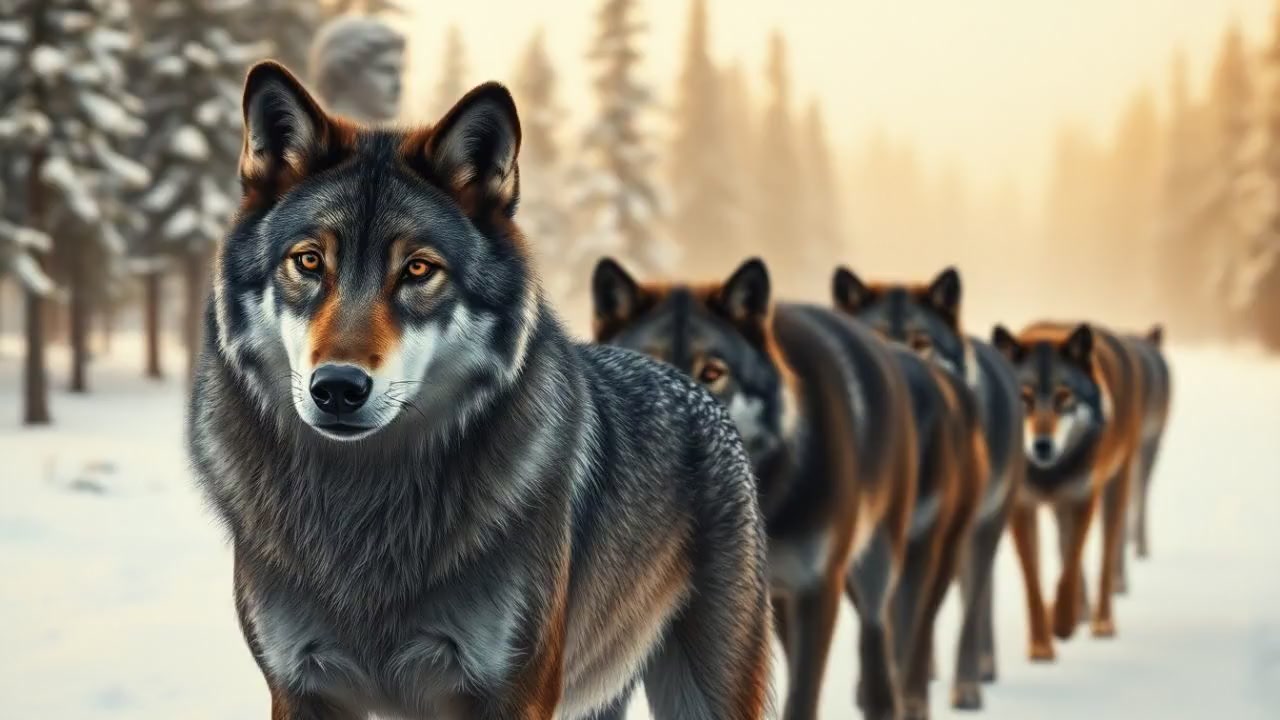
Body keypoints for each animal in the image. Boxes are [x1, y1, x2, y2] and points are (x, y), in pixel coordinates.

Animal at [186, 62, 773, 720]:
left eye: (418, 269)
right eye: (309, 262)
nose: (337, 387)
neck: (363, 503)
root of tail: (690, 385)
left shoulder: (514, 690)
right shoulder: (300, 688)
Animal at [833, 266, 1013, 712]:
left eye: (921, 342)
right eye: (874, 337)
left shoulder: (934, 543)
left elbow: (918, 627)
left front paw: (912, 697)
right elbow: (880, 620)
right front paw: (872, 689)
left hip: (978, 534)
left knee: (973, 605)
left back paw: (972, 678)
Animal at [991, 321, 1149, 659]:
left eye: (1064, 397)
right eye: (1024, 398)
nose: (1042, 446)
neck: (1049, 473)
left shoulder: (1081, 499)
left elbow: (1069, 570)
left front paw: (1062, 624)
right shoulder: (1021, 508)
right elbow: (1034, 580)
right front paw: (1040, 644)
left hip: (1113, 493)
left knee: (1103, 562)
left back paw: (1101, 621)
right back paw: (1082, 613)